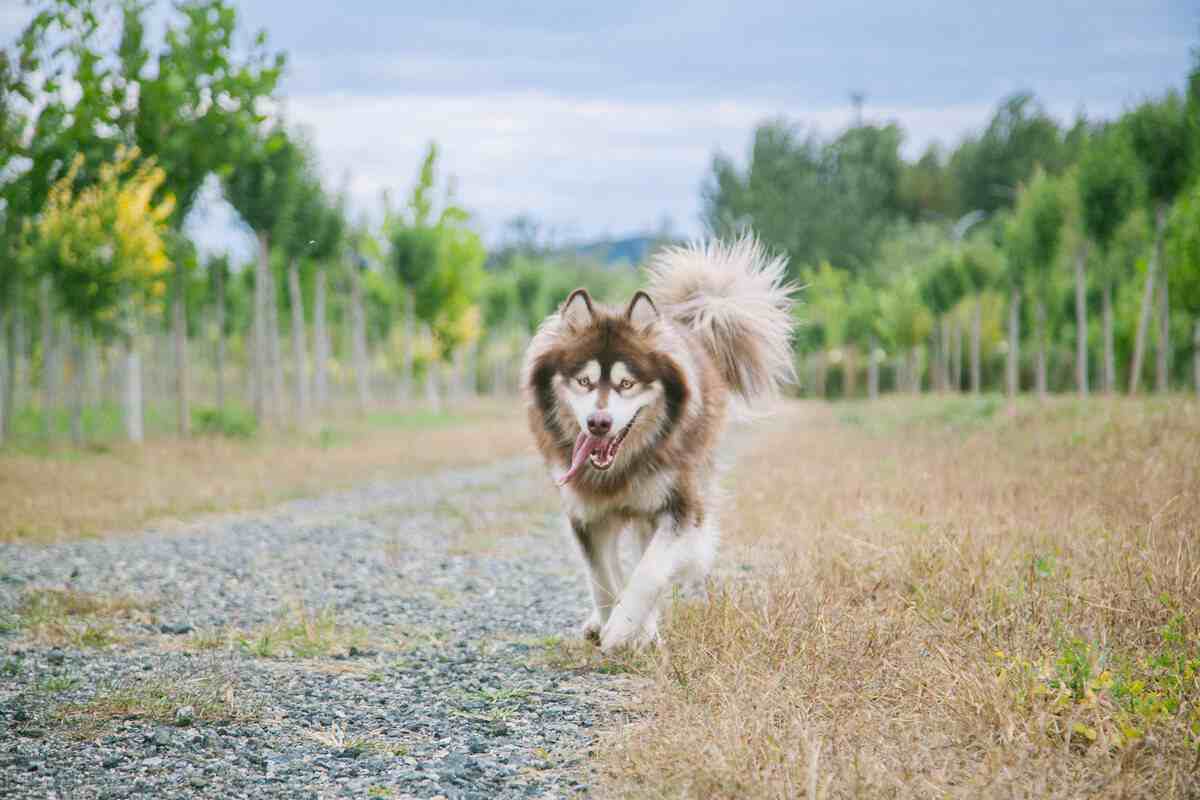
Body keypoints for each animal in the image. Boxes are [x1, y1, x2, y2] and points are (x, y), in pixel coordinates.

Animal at [518, 236, 792, 652]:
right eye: (584, 381)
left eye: (626, 383)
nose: (599, 423)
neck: (618, 470)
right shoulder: (586, 512)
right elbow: (602, 576)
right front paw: (611, 620)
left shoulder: (680, 508)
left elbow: (649, 573)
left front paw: (624, 629)